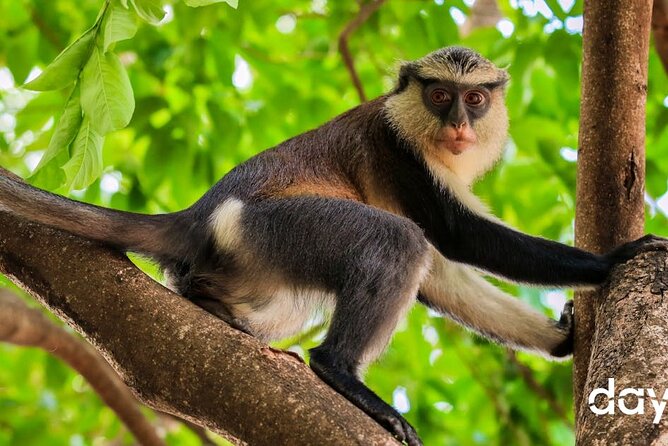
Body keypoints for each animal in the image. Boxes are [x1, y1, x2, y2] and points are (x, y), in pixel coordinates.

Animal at [0, 46, 666, 446]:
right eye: (440, 95)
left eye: (475, 98)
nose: (459, 125)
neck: (421, 131)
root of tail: (200, 213)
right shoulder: (399, 150)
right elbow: (452, 237)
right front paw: (615, 260)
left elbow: (439, 273)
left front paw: (561, 339)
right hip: (271, 228)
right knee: (394, 240)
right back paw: (338, 371)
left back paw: (211, 303)